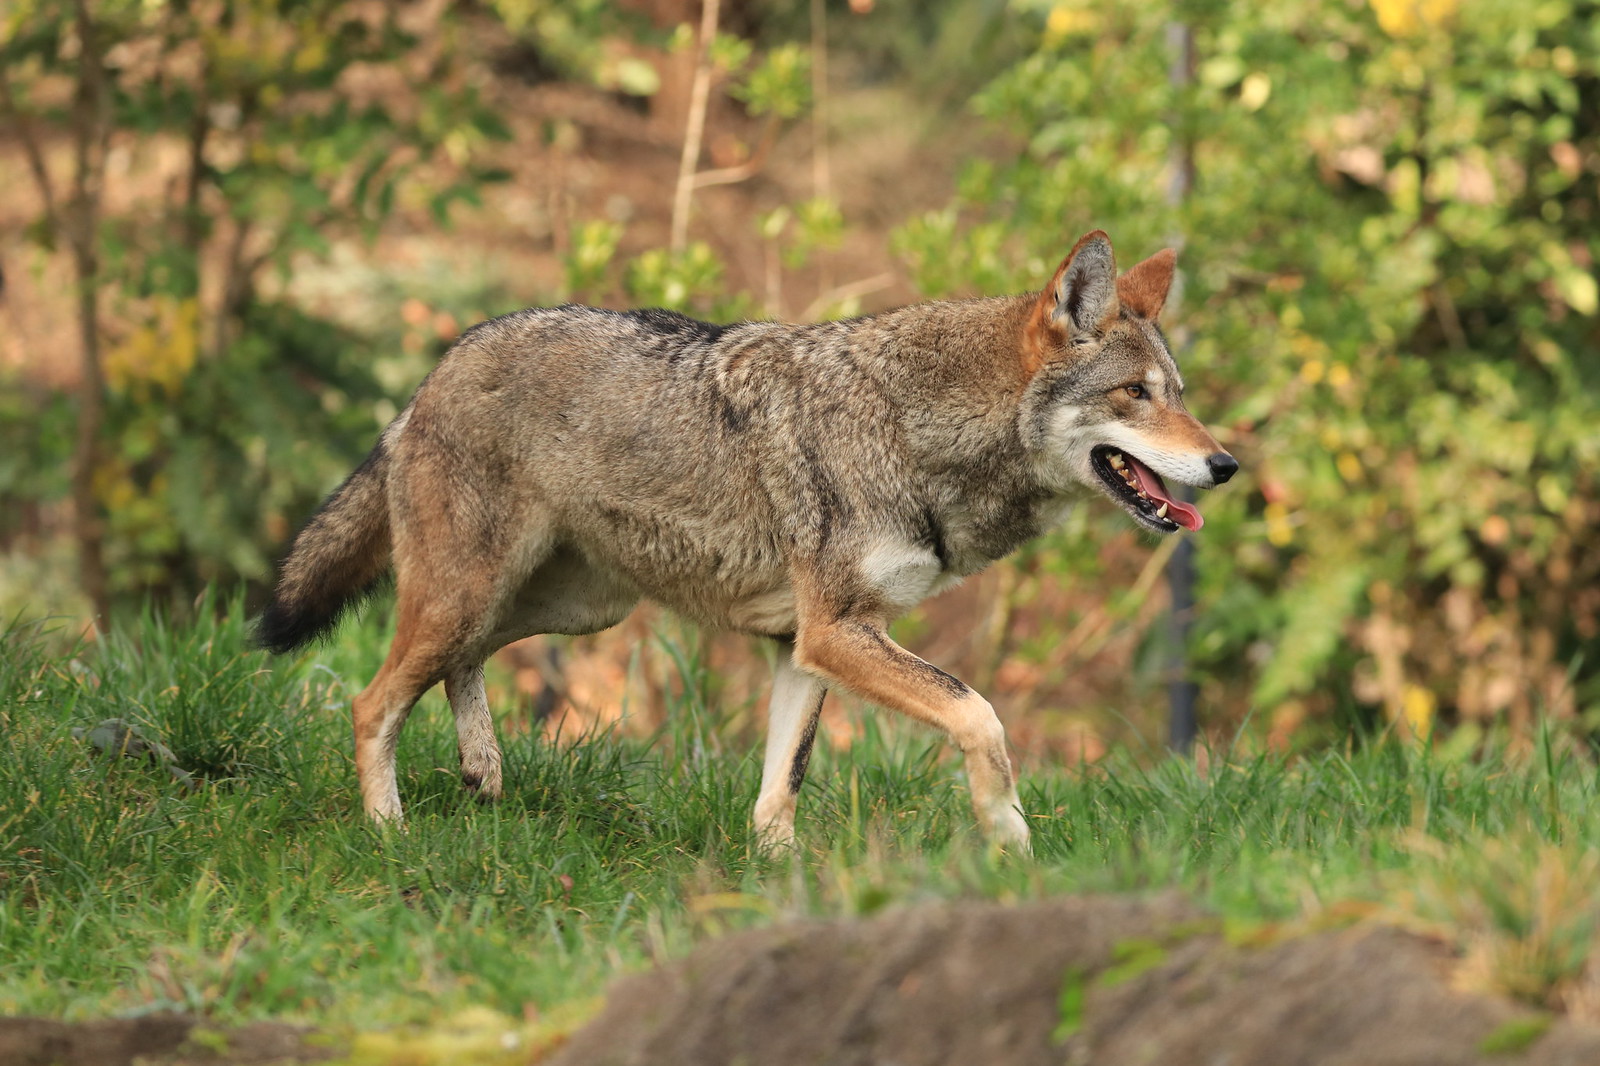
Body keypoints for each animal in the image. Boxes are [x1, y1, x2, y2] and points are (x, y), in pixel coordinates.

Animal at [258, 230, 1237, 852]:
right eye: (1136, 395)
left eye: (1181, 394)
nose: (1225, 464)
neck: (916, 428)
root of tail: (440, 364)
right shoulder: (838, 632)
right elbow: (978, 713)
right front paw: (1008, 837)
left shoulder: (804, 647)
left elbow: (779, 790)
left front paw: (780, 879)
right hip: (478, 597)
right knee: (373, 703)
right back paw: (390, 832)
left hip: (569, 609)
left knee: (458, 667)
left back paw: (482, 770)